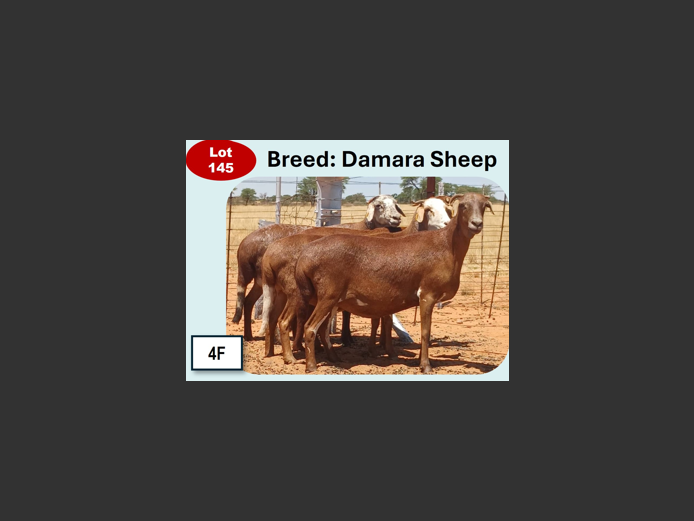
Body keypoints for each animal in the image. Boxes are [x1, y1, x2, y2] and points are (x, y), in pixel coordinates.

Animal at [294, 193, 494, 373]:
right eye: (463, 206)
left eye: (484, 206)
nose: (476, 224)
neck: (446, 244)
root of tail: (305, 257)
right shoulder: (427, 295)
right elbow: (425, 332)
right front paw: (425, 366)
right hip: (328, 295)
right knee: (310, 328)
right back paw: (311, 366)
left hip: (329, 299)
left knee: (320, 329)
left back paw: (333, 359)